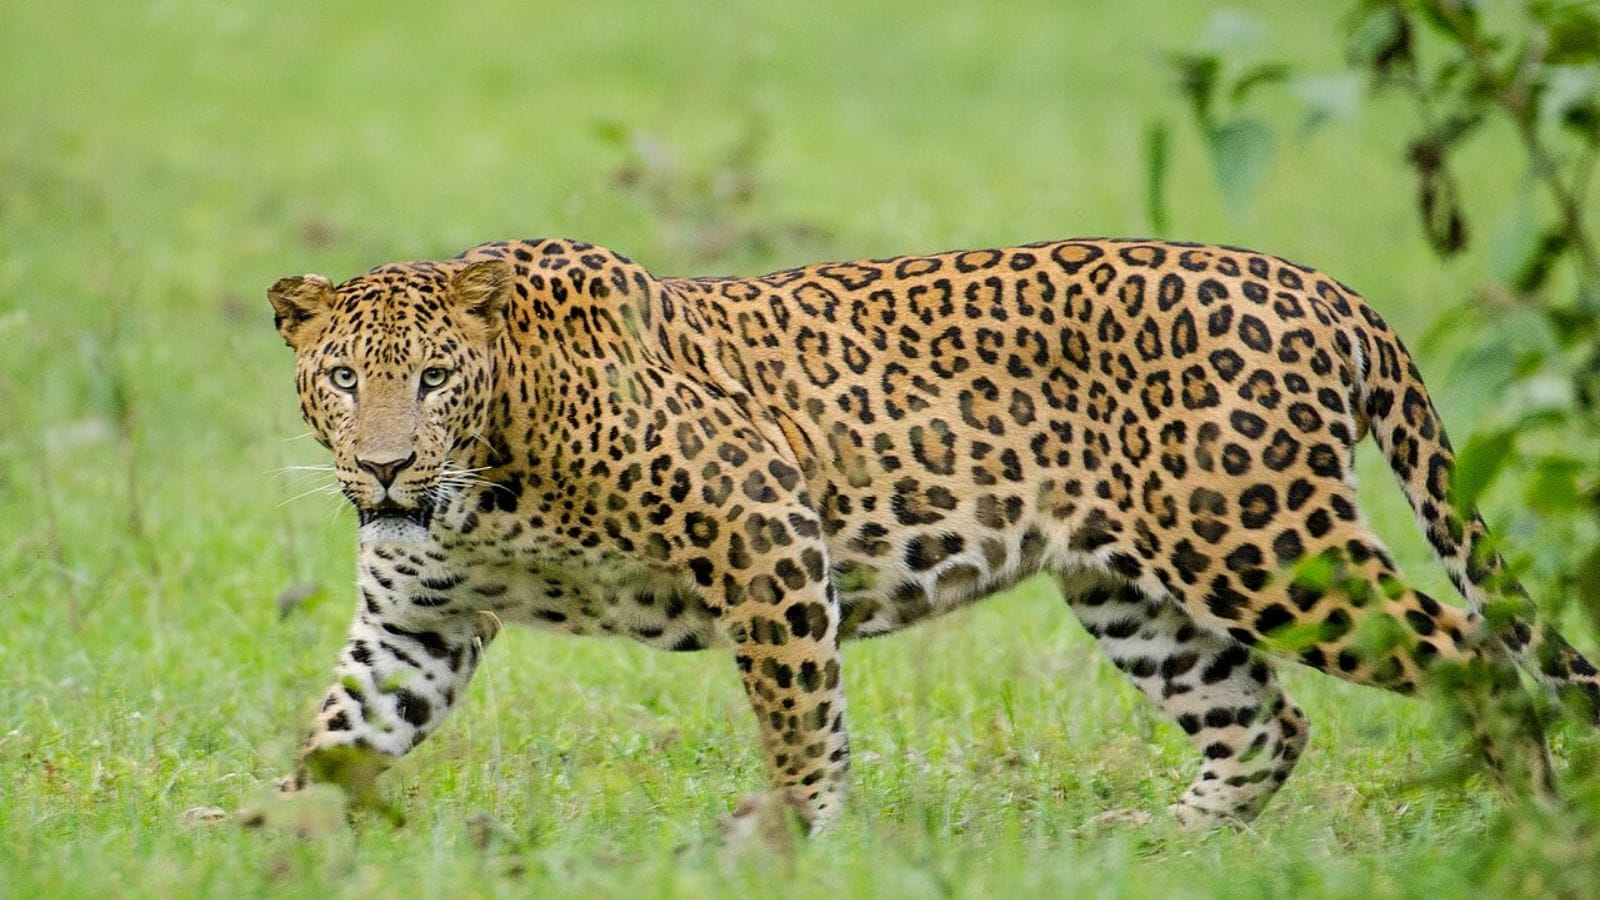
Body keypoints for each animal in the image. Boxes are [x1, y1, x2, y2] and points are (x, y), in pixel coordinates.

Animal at [267, 236, 1600, 831]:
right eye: (341, 378)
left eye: (434, 378)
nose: (384, 466)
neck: (487, 479)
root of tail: (1324, 288)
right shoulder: (416, 622)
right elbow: (340, 733)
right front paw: (263, 840)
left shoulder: (764, 529)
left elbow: (799, 719)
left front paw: (790, 842)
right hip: (1133, 589)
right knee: (1263, 720)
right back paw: (1164, 849)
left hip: (1260, 542)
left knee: (1477, 661)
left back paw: (1534, 829)